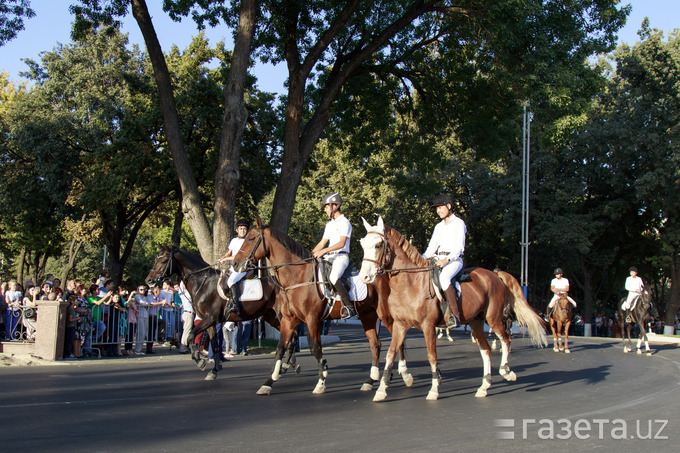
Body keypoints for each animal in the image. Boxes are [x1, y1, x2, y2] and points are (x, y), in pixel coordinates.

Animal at [145, 245, 298, 380]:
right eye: (156, 259)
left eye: (163, 261)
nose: (149, 280)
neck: (203, 283)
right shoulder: (211, 322)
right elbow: (214, 345)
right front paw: (214, 370)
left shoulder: (209, 319)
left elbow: (190, 335)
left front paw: (199, 361)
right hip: (271, 317)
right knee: (292, 336)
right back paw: (289, 365)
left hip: (280, 316)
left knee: (291, 336)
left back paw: (286, 365)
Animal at [231, 219, 410, 396]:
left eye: (251, 239)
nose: (234, 263)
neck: (297, 276)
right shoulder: (288, 320)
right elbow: (280, 348)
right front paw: (268, 382)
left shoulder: (312, 320)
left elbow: (317, 349)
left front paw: (321, 382)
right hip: (368, 316)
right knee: (376, 344)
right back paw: (370, 381)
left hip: (386, 316)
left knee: (398, 342)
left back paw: (405, 375)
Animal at [358, 217, 544, 400]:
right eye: (363, 244)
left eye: (378, 245)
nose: (364, 277)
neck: (410, 284)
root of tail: (494, 274)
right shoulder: (400, 325)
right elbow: (391, 353)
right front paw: (381, 390)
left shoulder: (428, 326)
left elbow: (431, 356)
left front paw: (434, 389)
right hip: (476, 322)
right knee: (486, 350)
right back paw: (484, 386)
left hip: (494, 319)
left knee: (506, 339)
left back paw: (506, 371)